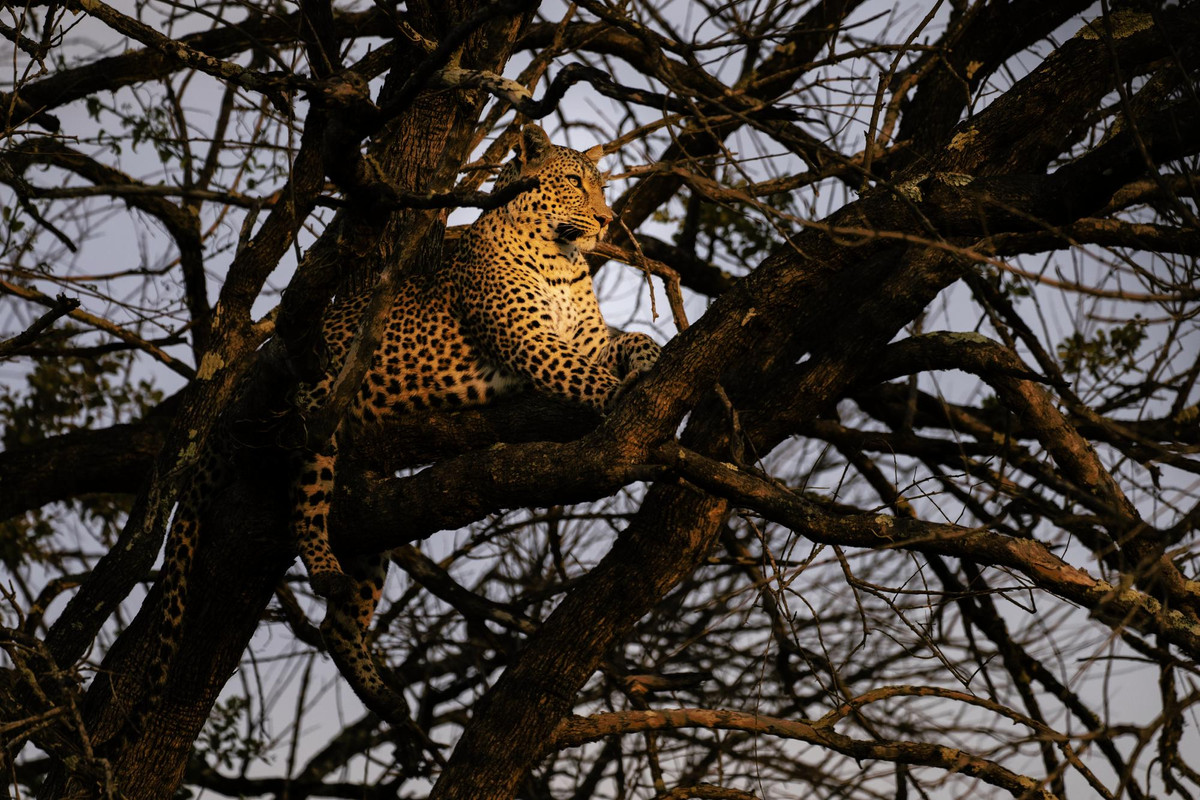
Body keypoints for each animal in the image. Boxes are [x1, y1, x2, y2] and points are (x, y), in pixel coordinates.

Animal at [127, 124, 660, 760]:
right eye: (576, 183)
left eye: (600, 185)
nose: (606, 220)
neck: (562, 259)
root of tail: (237, 392)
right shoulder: (532, 345)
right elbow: (589, 380)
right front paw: (627, 398)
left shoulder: (586, 341)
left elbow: (631, 339)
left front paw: (656, 361)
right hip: (320, 405)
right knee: (306, 498)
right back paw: (323, 566)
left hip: (371, 515)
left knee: (338, 621)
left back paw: (382, 693)